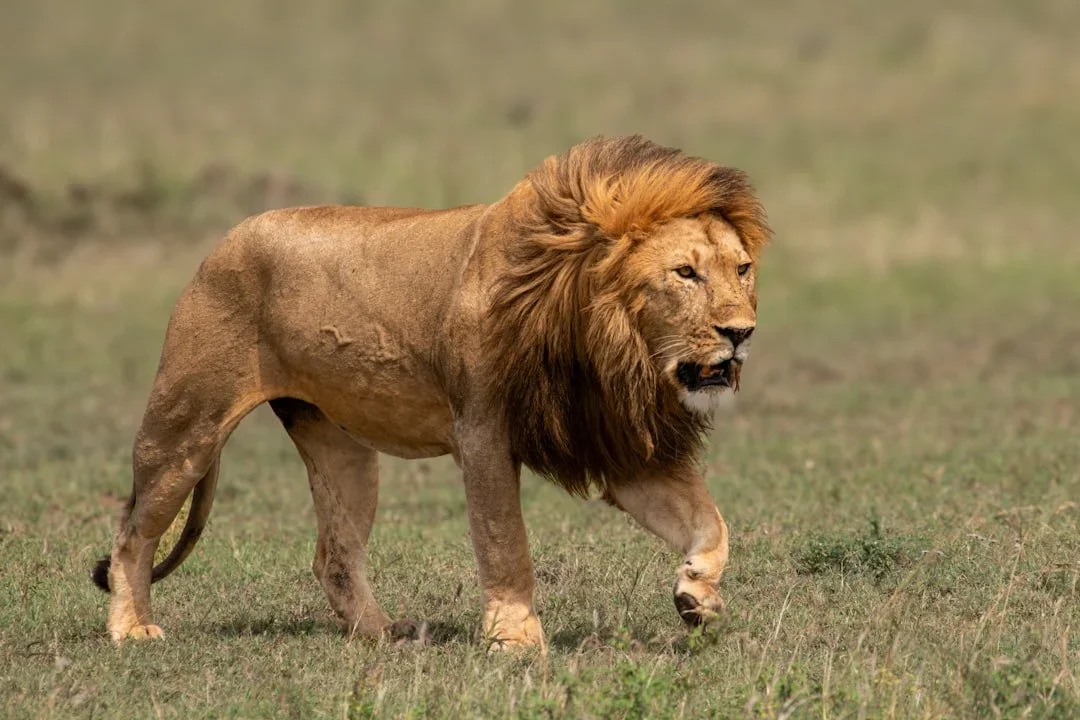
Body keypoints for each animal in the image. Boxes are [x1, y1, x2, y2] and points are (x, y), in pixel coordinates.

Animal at [90, 135, 771, 649]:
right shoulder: (484, 434)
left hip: (341, 450)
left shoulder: (619, 445)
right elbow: (504, 542)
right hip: (188, 424)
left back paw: (383, 634)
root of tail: (225, 239)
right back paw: (132, 629)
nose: (741, 333)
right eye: (684, 273)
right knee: (131, 534)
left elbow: (711, 522)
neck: (609, 343)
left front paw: (696, 594)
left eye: (742, 269)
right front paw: (514, 639)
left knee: (334, 555)